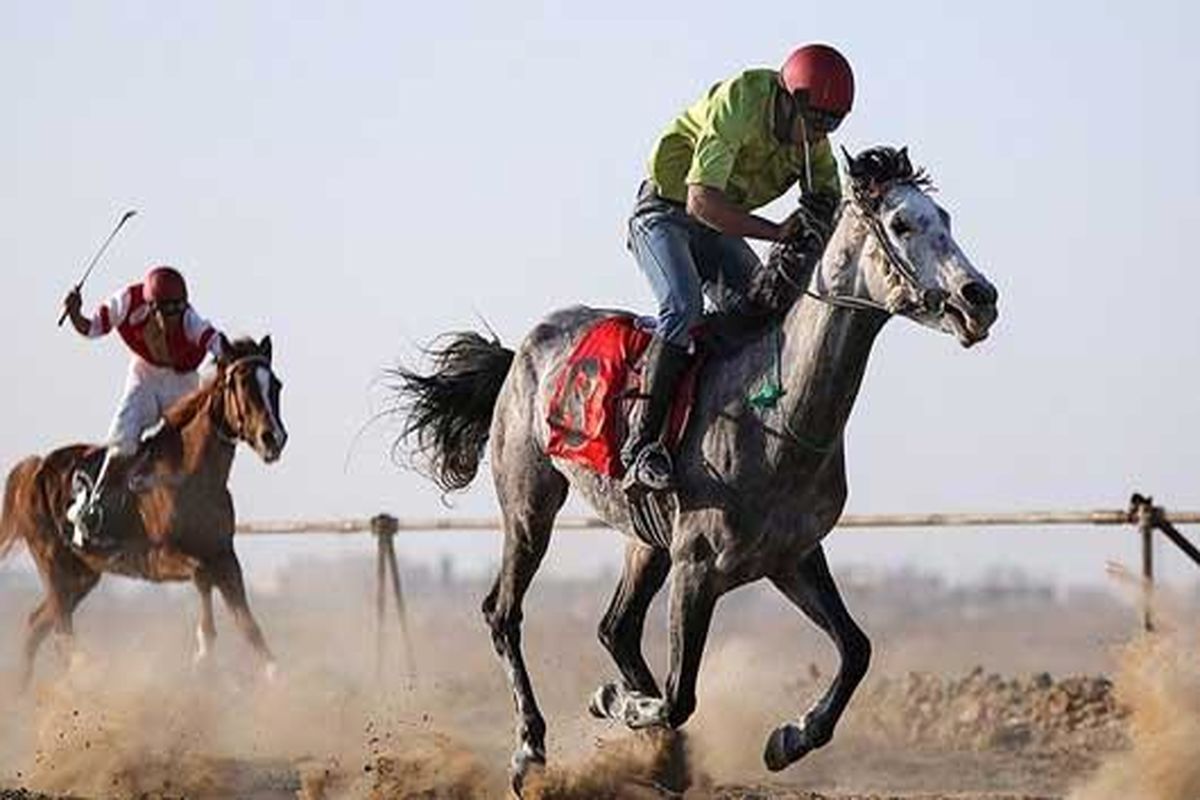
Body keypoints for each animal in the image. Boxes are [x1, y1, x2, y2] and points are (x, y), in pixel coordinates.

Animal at [0, 335, 285, 686]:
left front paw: (273, 672)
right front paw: (204, 650)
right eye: (243, 384)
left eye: (276, 385)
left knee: (37, 624)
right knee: (60, 626)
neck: (192, 475)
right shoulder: (161, 557)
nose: (273, 438)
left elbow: (248, 624)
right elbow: (201, 576)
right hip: (53, 562)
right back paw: (82, 668)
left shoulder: (224, 555)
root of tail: (35, 467)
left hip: (82, 573)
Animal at [391, 146, 993, 786]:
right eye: (902, 224)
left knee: (616, 627)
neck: (775, 408)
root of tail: (521, 352)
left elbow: (857, 649)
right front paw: (613, 701)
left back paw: (663, 759)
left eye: (945, 218)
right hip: (531, 506)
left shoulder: (792, 556)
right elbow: (680, 696)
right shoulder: (697, 564)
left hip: (644, 537)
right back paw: (532, 748)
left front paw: (791, 737)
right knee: (504, 613)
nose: (979, 298)